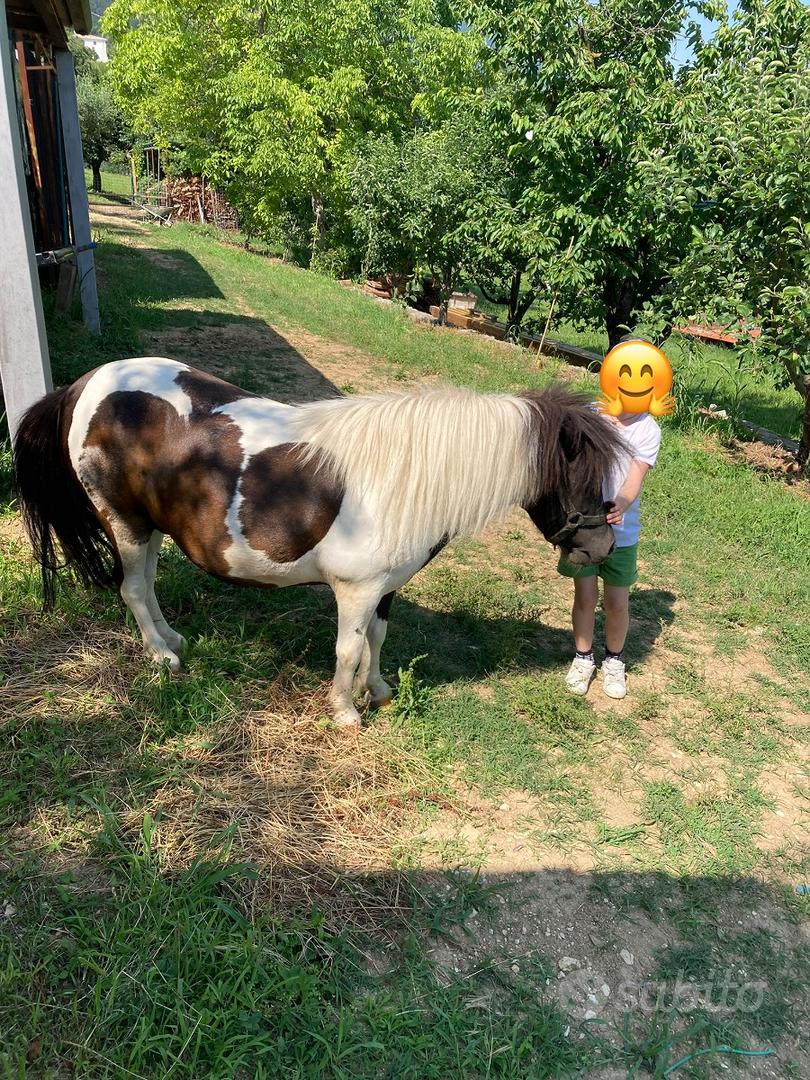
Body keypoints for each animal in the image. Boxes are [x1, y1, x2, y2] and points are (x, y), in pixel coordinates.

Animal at [12, 360, 626, 725]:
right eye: (581, 476)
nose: (600, 551)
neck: (403, 476)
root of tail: (85, 386)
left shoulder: (384, 589)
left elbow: (377, 638)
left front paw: (377, 690)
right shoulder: (355, 589)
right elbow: (348, 648)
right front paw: (345, 710)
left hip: (154, 527)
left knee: (148, 587)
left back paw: (172, 638)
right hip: (127, 525)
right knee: (133, 590)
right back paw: (162, 656)